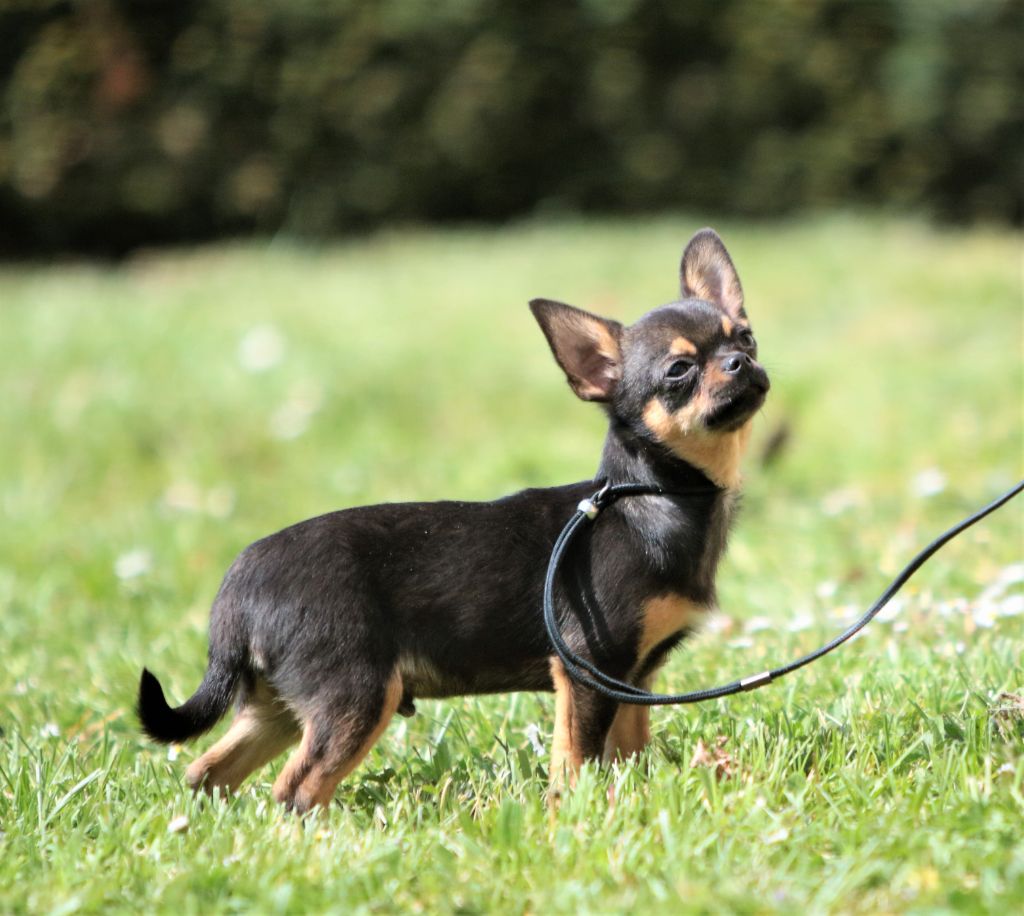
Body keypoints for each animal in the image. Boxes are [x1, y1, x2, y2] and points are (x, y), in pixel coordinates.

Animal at [142, 231, 770, 818]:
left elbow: (627, 753)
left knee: (207, 771)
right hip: (356, 695)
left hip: (279, 705)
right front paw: (574, 813)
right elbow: (576, 759)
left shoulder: (633, 680)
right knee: (295, 788)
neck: (653, 496)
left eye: (745, 337)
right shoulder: (586, 670)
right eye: (679, 370)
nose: (743, 363)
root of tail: (235, 586)